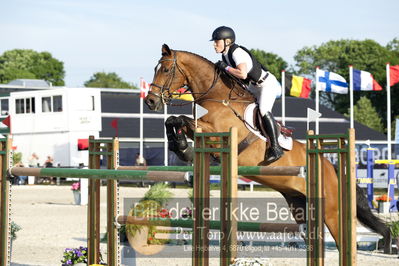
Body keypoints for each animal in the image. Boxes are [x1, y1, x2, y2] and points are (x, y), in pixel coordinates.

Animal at [145, 43, 392, 254]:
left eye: (165, 69)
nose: (150, 102)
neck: (216, 96)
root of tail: (332, 168)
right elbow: (173, 120)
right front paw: (180, 147)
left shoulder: (215, 131)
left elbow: (180, 119)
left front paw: (181, 147)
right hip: (300, 205)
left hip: (331, 210)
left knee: (342, 241)